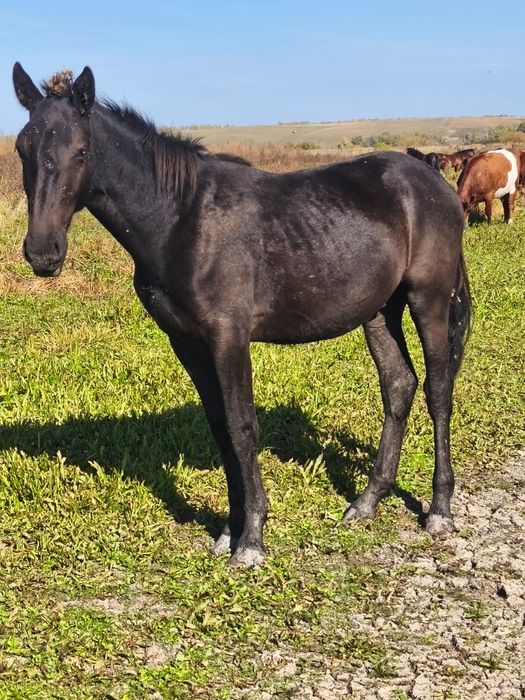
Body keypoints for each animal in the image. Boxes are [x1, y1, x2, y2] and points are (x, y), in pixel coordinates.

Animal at [12, 63, 472, 568]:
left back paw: (440, 510)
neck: (180, 220)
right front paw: (228, 531)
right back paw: (368, 500)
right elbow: (220, 428)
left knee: (437, 391)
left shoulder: (227, 336)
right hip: (378, 310)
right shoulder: (187, 342)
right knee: (399, 386)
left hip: (427, 300)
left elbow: (242, 426)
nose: (43, 253)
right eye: (22, 148)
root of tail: (433, 181)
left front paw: (251, 539)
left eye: (81, 151)